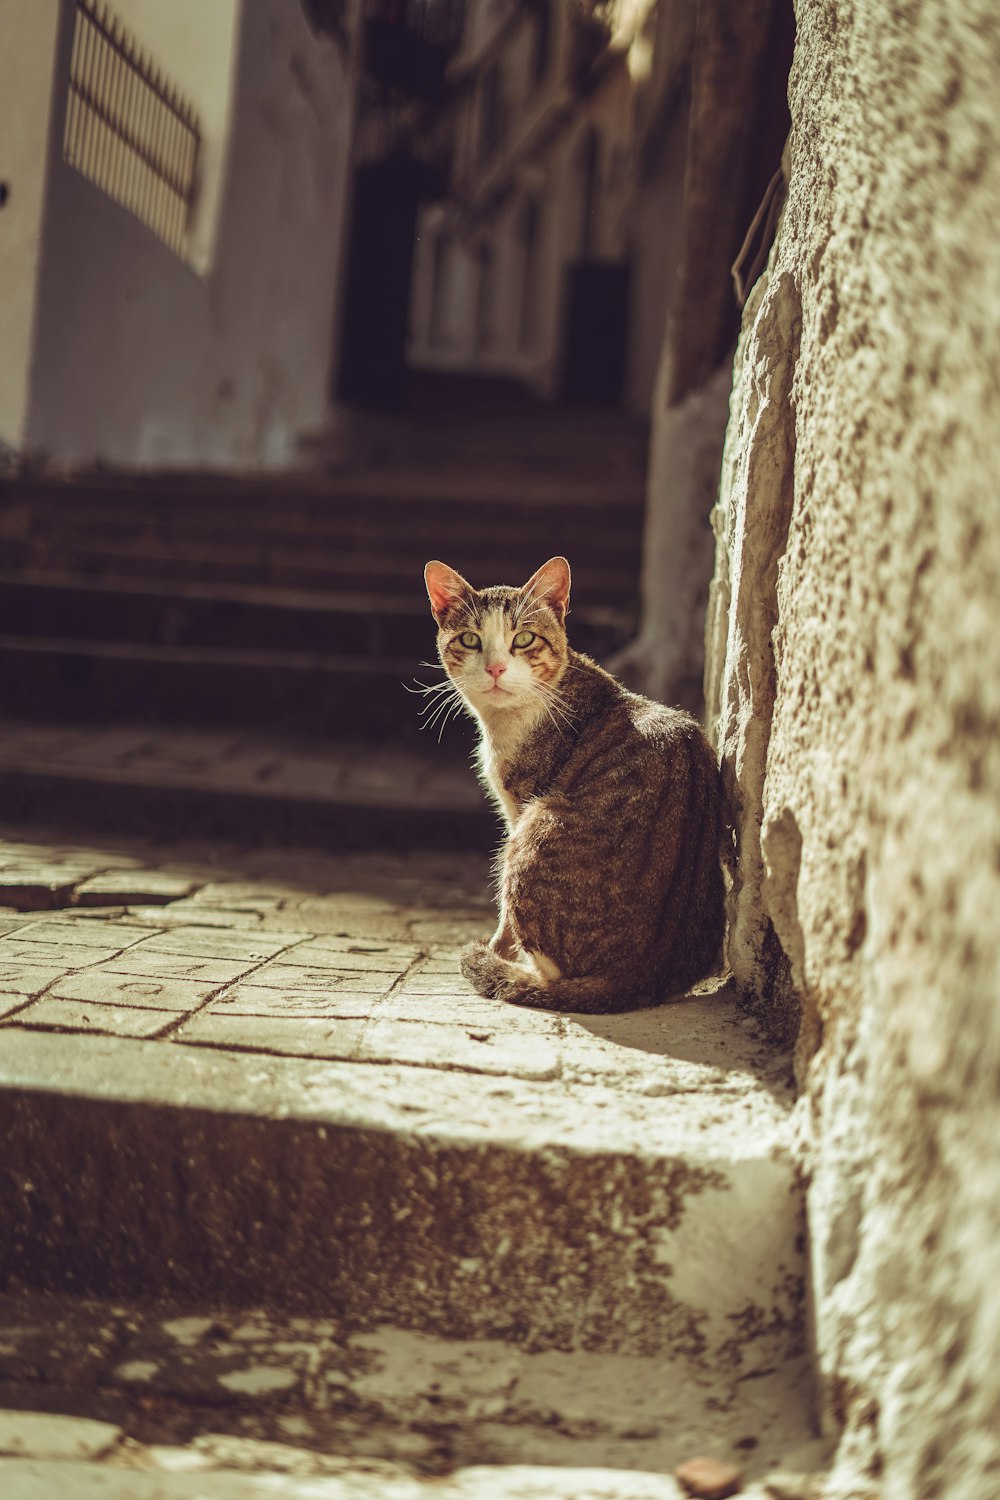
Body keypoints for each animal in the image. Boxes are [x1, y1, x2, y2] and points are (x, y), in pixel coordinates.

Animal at [425, 558, 728, 1014]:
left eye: (524, 639)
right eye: (470, 640)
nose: (495, 668)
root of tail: (638, 974)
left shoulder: (520, 807)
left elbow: (504, 918)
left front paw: (496, 952)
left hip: (535, 828)